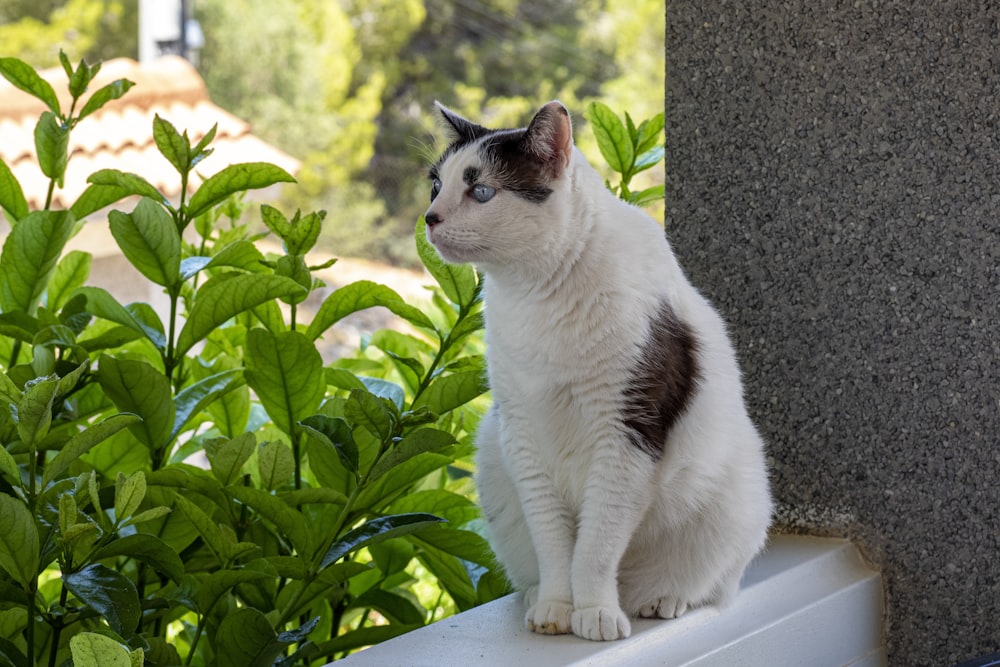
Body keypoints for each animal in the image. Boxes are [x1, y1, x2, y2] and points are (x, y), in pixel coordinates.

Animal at [422, 99, 772, 640]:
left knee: (709, 584)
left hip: (739, 500)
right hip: (494, 464)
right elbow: (554, 542)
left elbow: (596, 544)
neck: (538, 294)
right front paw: (556, 608)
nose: (429, 218)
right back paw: (537, 595)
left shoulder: (626, 434)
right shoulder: (522, 435)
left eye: (481, 191)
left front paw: (596, 613)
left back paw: (659, 600)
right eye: (436, 185)